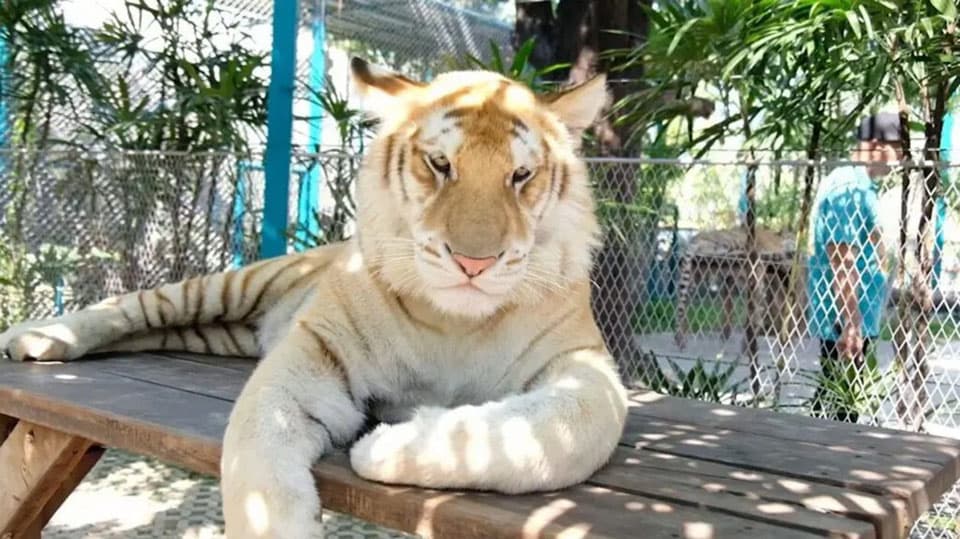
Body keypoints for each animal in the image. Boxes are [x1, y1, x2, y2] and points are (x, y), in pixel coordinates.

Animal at [0, 58, 628, 538]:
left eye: (520, 176)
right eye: (440, 164)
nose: (475, 262)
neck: (456, 324)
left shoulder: (586, 368)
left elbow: (560, 433)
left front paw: (384, 446)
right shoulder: (311, 359)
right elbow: (258, 469)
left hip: (220, 329)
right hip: (228, 285)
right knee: (134, 306)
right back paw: (35, 337)